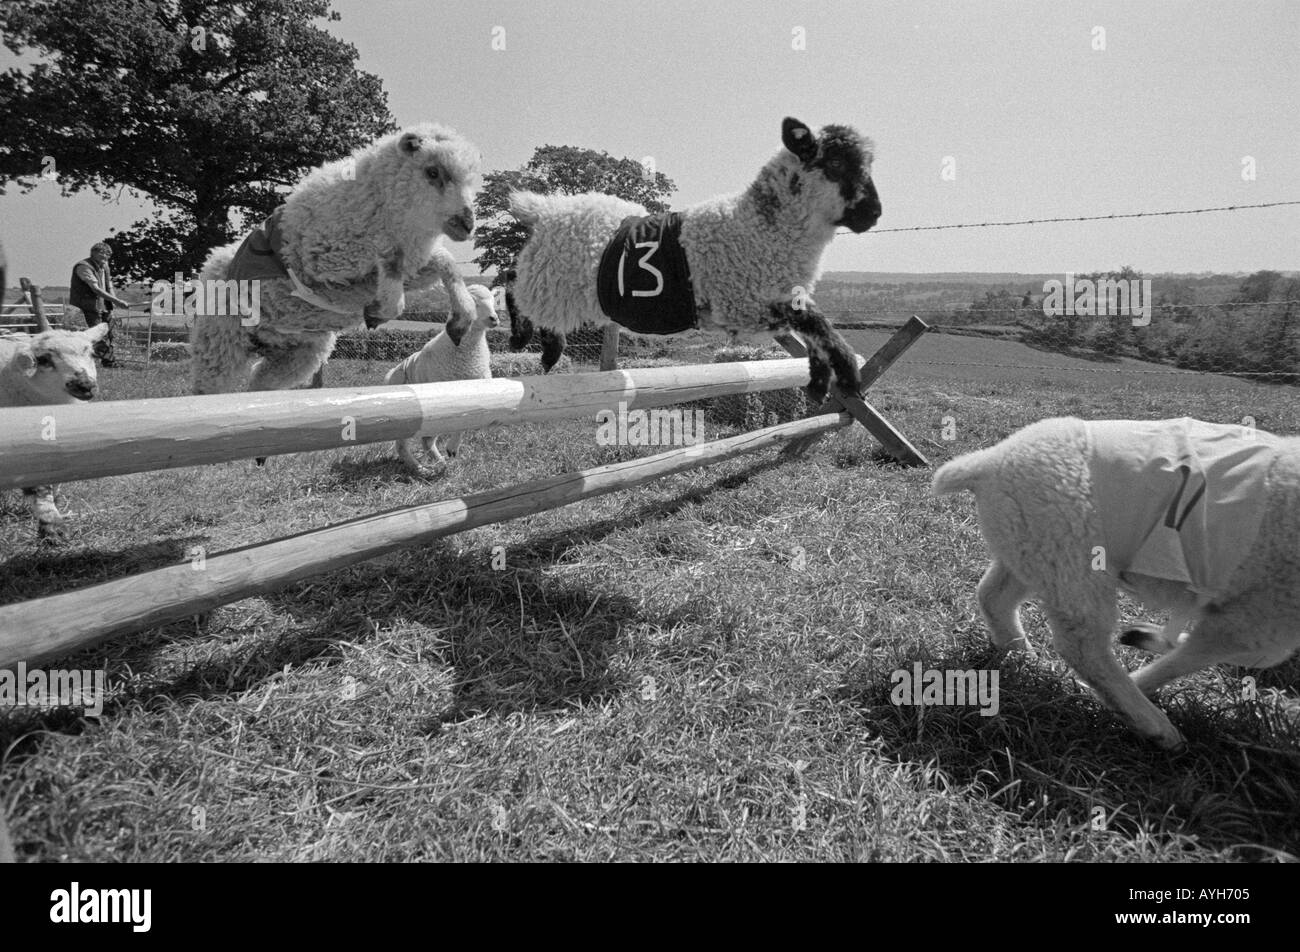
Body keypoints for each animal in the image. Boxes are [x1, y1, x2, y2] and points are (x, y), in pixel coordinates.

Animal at [188, 123, 483, 397]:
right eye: (432, 172)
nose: (467, 225)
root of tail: (210, 261)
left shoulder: (412, 266)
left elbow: (446, 263)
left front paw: (461, 320)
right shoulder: (329, 269)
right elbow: (391, 275)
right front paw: (378, 311)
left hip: (296, 357)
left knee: (258, 384)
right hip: (220, 342)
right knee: (209, 389)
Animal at [382, 282, 499, 476]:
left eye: (494, 301)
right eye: (470, 303)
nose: (494, 319)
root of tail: (390, 374)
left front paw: (452, 449)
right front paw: (451, 449)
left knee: (426, 441)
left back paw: (438, 462)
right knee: (407, 444)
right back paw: (421, 469)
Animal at [501, 117, 878, 403]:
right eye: (835, 163)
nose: (874, 213)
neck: (756, 227)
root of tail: (544, 209)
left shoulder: (768, 302)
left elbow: (812, 325)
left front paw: (819, 382)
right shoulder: (739, 306)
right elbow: (814, 321)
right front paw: (847, 373)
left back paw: (549, 349)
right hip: (547, 279)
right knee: (510, 281)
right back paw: (527, 341)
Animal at [935, 416, 1300, 749]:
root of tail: (989, 461)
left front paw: (1151, 639)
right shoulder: (1262, 616)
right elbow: (1211, 655)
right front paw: (1144, 674)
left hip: (1032, 547)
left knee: (993, 596)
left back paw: (1021, 655)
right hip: (1073, 555)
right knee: (1083, 645)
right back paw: (1151, 723)